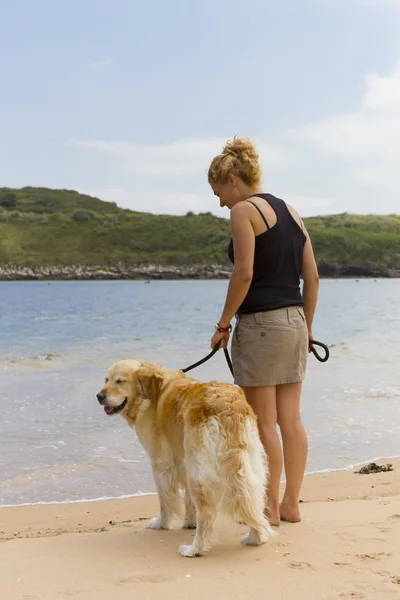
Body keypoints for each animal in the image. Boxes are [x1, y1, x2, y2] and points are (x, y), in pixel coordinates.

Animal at [96, 358, 276, 556]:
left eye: (120, 381)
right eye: (106, 380)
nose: (99, 396)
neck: (153, 391)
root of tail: (227, 408)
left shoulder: (161, 462)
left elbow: (165, 499)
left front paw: (162, 523)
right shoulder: (183, 460)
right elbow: (188, 500)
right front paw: (189, 522)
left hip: (200, 472)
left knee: (206, 513)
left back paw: (195, 549)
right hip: (250, 466)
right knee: (252, 500)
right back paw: (255, 538)